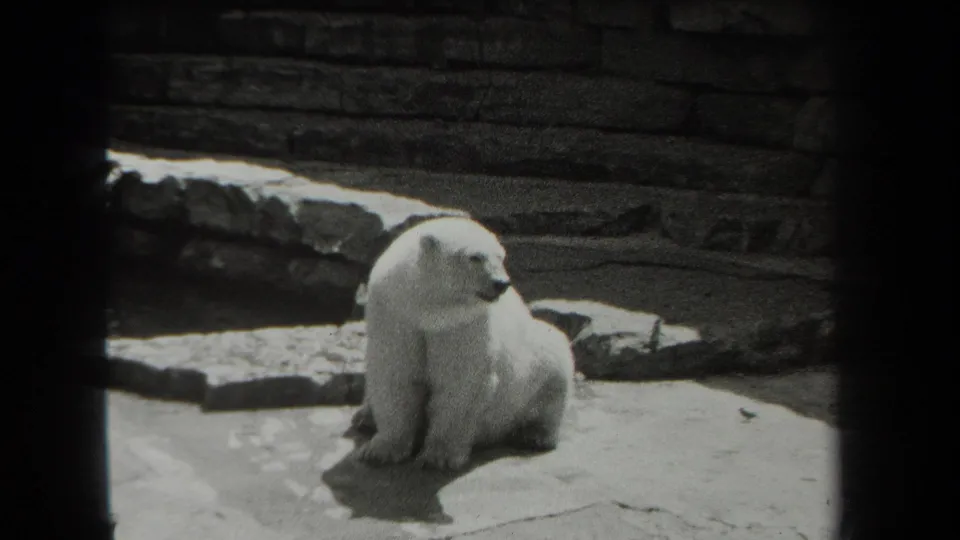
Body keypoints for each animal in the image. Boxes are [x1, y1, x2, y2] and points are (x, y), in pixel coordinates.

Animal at [350, 216, 575, 471]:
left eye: (501, 256)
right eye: (475, 257)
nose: (501, 283)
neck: (426, 308)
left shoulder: (462, 326)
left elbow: (460, 381)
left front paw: (439, 456)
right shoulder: (396, 315)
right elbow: (395, 374)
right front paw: (380, 450)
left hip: (532, 365)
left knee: (553, 365)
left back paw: (535, 435)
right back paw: (365, 417)